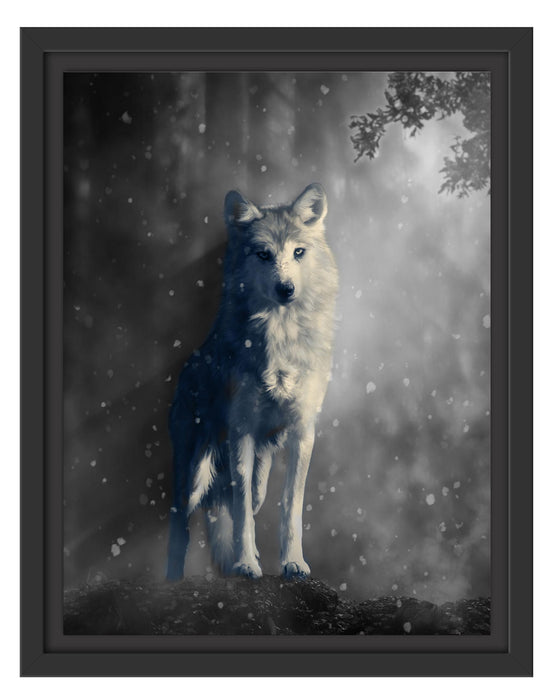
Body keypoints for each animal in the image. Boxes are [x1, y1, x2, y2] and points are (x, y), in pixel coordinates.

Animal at [166, 183, 338, 581]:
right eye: (263, 254)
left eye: (298, 252)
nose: (286, 288)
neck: (281, 337)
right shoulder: (241, 430)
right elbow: (242, 512)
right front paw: (246, 565)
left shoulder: (303, 431)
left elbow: (290, 507)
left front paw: (293, 563)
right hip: (192, 478)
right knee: (181, 525)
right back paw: (173, 579)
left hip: (256, 470)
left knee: (242, 501)